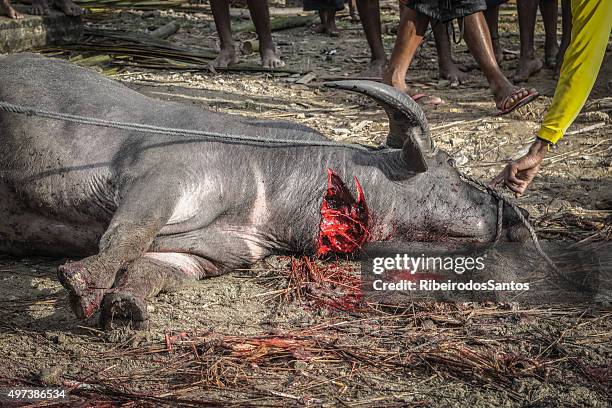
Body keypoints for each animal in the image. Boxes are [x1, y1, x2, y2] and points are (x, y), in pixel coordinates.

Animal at [0, 99, 584, 290]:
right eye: (454, 166)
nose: (502, 204)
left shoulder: (225, 249)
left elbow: (157, 266)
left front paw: (123, 302)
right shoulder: (161, 174)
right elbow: (129, 231)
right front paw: (84, 280)